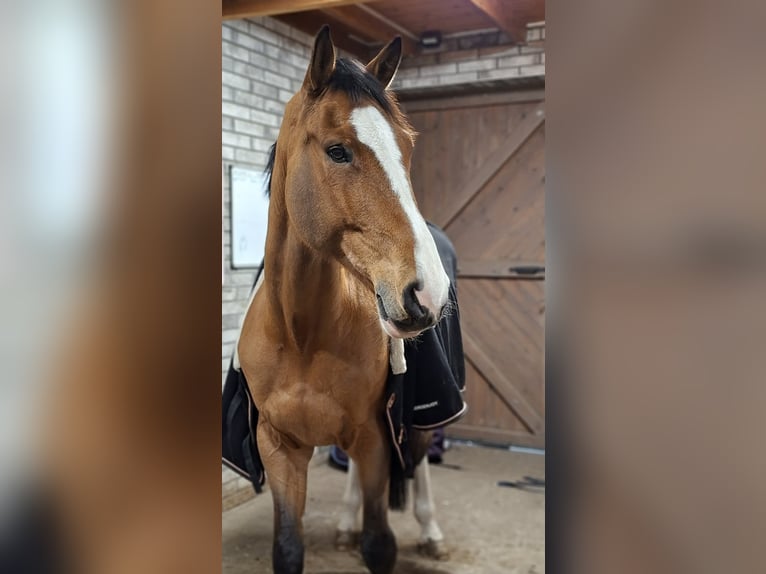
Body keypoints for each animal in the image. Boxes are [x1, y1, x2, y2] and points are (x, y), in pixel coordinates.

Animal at [237, 26, 451, 574]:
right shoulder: (281, 448)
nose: (429, 290)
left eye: (407, 148)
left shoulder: (375, 437)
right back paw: (345, 524)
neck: (302, 335)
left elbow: (381, 544)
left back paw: (432, 531)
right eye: (337, 151)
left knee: (421, 462)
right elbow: (288, 549)